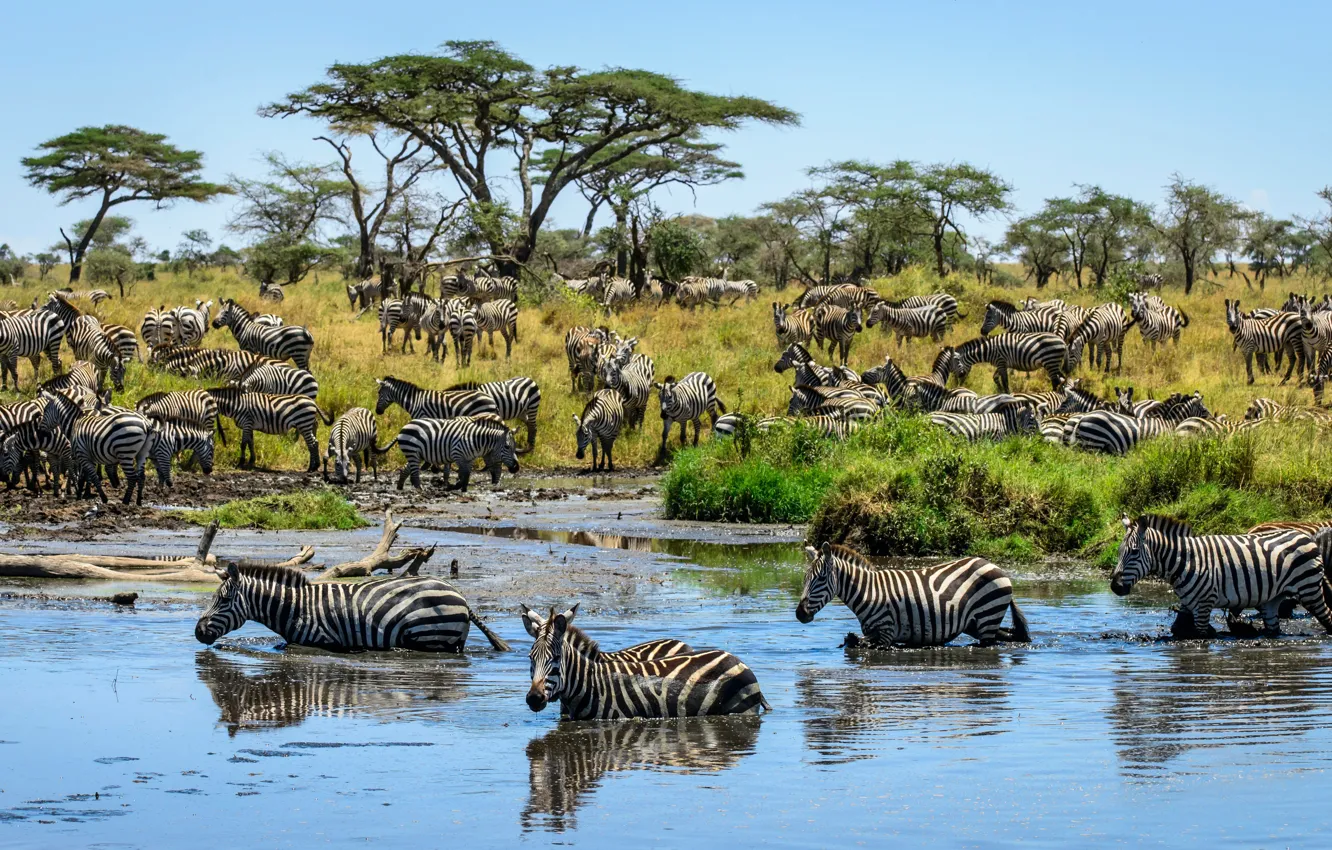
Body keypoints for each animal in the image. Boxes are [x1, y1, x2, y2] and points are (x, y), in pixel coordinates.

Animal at [195, 564, 510, 652]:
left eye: (223, 600)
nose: (198, 632)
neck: (295, 607)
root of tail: (462, 597)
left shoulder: (322, 639)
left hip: (426, 633)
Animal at [379, 415, 519, 491]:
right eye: (507, 447)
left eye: (515, 446)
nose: (516, 468)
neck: (475, 439)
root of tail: (404, 426)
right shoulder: (458, 455)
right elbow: (463, 474)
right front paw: (455, 487)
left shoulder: (469, 459)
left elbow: (466, 475)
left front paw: (463, 488)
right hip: (413, 452)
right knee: (414, 475)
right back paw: (420, 489)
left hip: (417, 455)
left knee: (406, 469)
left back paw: (400, 487)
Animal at [524, 604, 770, 719]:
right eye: (530, 658)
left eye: (556, 658)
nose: (534, 698)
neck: (590, 685)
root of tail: (735, 658)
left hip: (741, 712)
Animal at [796, 542, 1030, 648]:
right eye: (805, 579)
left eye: (820, 579)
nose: (800, 614)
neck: (868, 592)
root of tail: (995, 566)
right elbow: (852, 640)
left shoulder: (887, 633)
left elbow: (864, 644)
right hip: (975, 623)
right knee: (1009, 635)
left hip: (987, 617)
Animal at [1113, 514, 1332, 638]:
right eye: (1119, 551)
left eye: (1134, 552)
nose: (1115, 586)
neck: (1185, 561)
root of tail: (1306, 536)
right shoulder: (1188, 603)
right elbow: (1178, 629)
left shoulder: (1204, 604)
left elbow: (1202, 636)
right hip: (1273, 599)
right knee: (1274, 629)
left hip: (1309, 589)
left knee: (1328, 617)